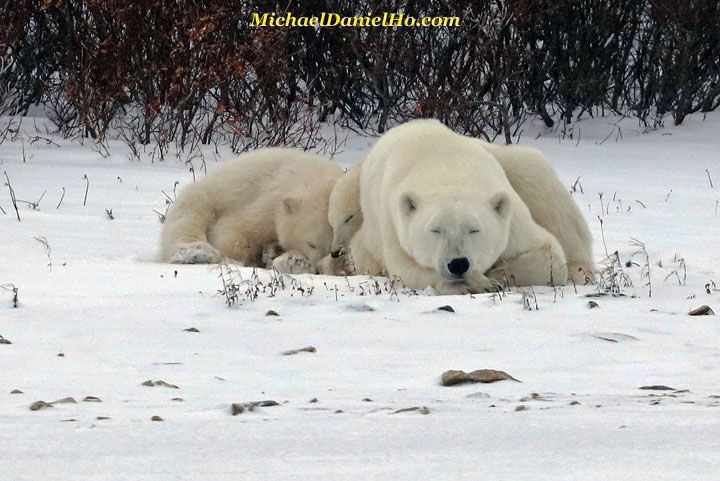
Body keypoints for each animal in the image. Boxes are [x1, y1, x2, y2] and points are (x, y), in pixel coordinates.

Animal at [160, 147, 344, 270]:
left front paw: (289, 260)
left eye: (335, 249)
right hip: (205, 193)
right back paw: (198, 252)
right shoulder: (268, 201)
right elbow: (235, 229)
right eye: (311, 243)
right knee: (190, 213)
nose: (318, 268)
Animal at [348, 119, 568, 292]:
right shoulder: (394, 226)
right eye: (435, 229)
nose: (458, 264)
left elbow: (551, 255)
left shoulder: (514, 221)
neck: (447, 167)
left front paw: (495, 276)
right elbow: (406, 268)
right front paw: (476, 283)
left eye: (474, 229)